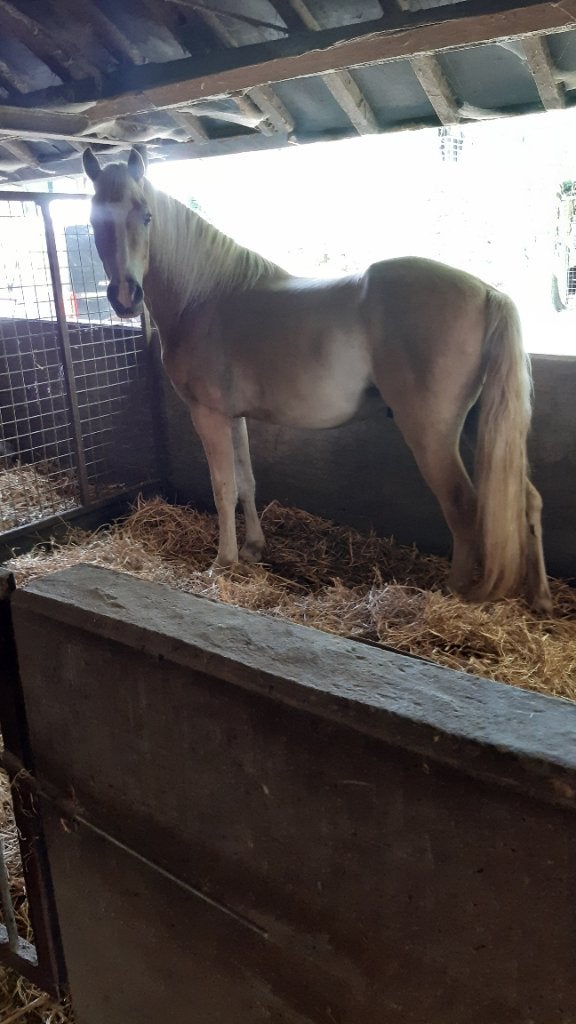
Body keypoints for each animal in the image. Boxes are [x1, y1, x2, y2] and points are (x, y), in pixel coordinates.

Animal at [82, 146, 552, 614]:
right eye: (93, 220)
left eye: (146, 214)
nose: (125, 297)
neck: (205, 297)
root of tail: (488, 292)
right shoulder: (234, 416)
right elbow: (246, 482)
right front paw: (253, 549)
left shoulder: (208, 414)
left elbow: (222, 488)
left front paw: (223, 562)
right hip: (474, 423)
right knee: (527, 500)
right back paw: (541, 597)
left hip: (431, 434)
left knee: (463, 507)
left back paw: (450, 595)